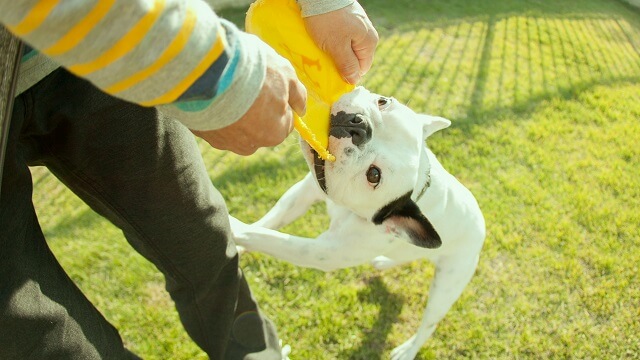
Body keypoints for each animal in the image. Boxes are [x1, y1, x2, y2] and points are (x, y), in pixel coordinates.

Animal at [230, 87, 484, 360]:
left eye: (374, 175)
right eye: (383, 102)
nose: (360, 125)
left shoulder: (323, 252)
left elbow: (269, 239)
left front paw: (234, 227)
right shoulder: (303, 193)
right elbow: (271, 221)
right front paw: (243, 241)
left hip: (448, 283)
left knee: (429, 323)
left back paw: (408, 350)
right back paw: (383, 263)